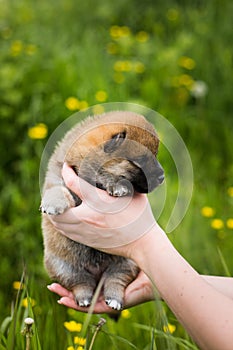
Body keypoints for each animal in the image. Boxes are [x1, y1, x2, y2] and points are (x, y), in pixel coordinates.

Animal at [40, 110, 164, 310]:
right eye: (142, 160)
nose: (162, 177)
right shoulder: (59, 178)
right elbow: (57, 189)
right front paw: (53, 203)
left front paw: (118, 186)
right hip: (63, 266)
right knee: (80, 282)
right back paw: (84, 297)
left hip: (126, 263)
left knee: (116, 280)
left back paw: (114, 299)